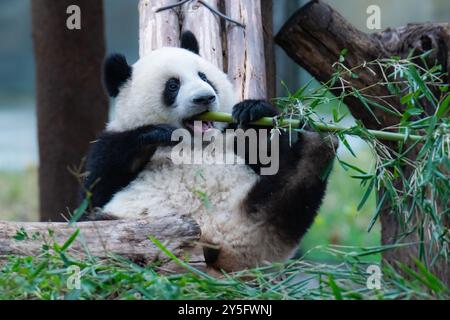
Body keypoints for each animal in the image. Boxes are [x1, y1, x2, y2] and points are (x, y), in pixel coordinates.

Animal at [81, 31, 338, 272]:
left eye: (203, 76)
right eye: (173, 85)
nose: (205, 97)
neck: (196, 144)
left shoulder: (231, 139)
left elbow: (265, 150)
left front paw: (254, 112)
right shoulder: (109, 145)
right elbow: (94, 191)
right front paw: (156, 133)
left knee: (290, 194)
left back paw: (319, 143)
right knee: (108, 231)